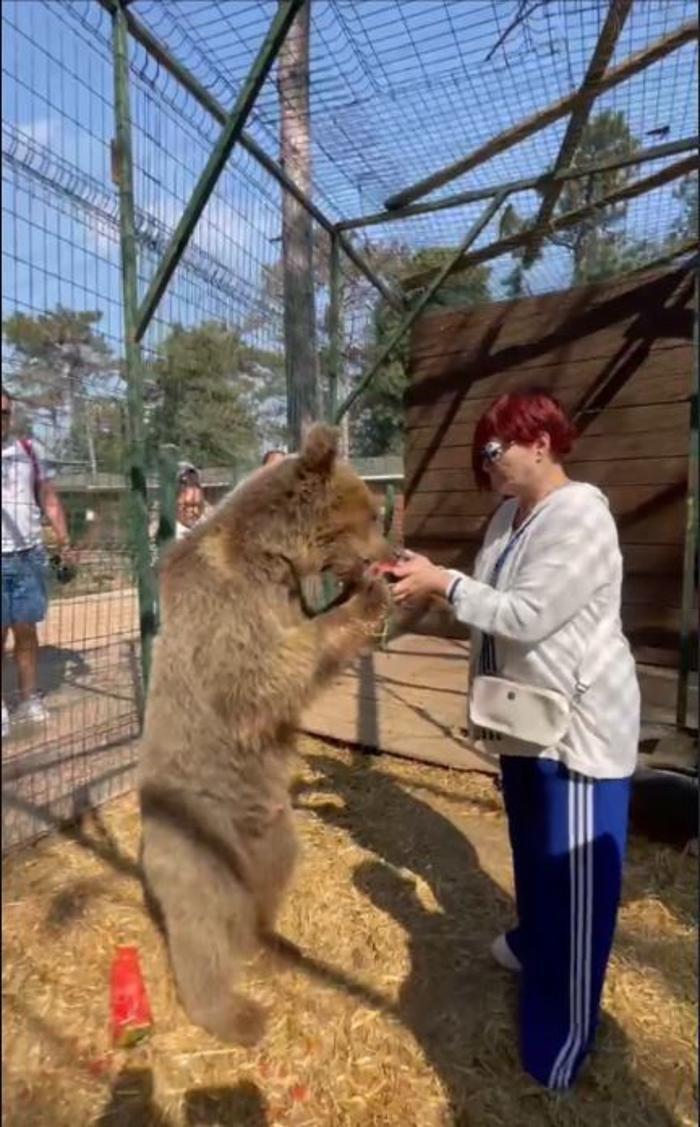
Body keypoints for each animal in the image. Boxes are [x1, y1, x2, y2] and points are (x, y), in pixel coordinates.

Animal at [136, 423, 392, 1045]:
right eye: (371, 514)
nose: (392, 556)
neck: (273, 560)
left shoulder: (286, 596)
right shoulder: (226, 609)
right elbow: (266, 672)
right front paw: (369, 596)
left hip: (273, 831)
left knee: (270, 882)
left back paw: (274, 943)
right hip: (199, 841)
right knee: (202, 928)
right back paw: (234, 1015)